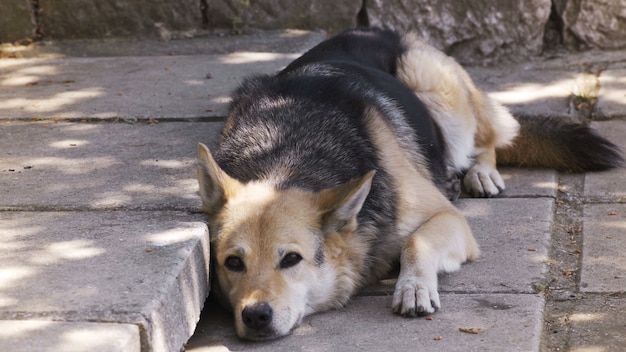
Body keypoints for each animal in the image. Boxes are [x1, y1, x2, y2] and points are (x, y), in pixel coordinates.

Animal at [196, 26, 620, 340]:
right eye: (233, 263)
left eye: (291, 259)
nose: (256, 316)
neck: (288, 153)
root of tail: (379, 29)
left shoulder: (448, 218)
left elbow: (417, 241)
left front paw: (413, 286)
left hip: (437, 92)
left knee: (491, 137)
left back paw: (479, 173)